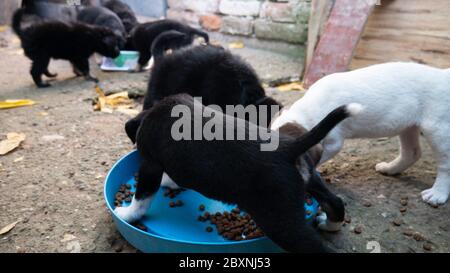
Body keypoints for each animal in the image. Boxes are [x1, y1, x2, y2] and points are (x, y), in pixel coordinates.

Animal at [115, 93, 358, 251]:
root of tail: (288, 147)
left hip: (281, 222)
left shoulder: (150, 166)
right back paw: (329, 224)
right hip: (310, 181)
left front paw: (126, 214)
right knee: (335, 203)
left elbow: (141, 199)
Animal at [270, 62, 450, 204]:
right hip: (408, 126)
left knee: (444, 164)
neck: (305, 113)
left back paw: (437, 194)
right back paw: (390, 169)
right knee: (412, 153)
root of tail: (443, 75)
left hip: (437, 130)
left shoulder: (333, 143)